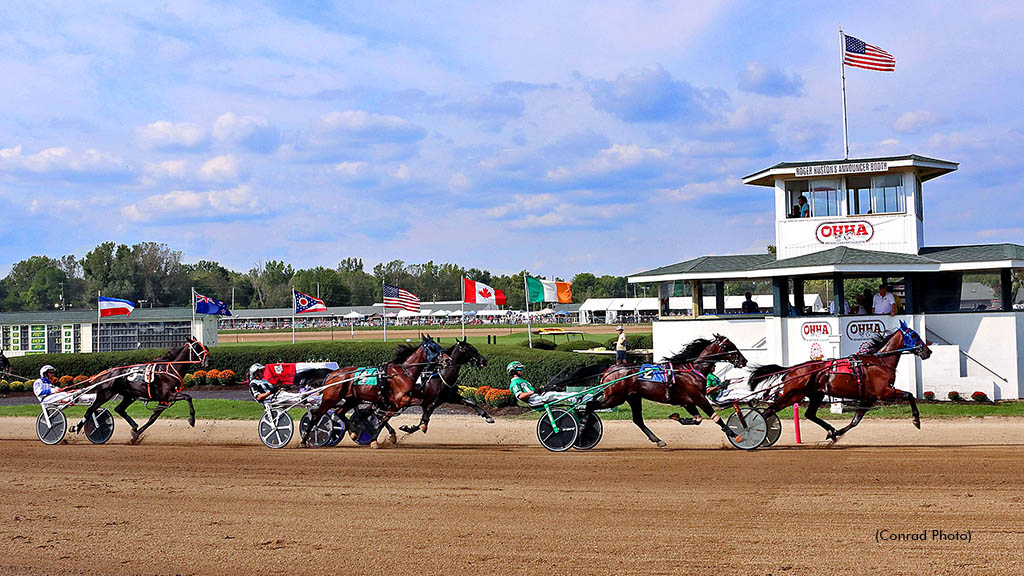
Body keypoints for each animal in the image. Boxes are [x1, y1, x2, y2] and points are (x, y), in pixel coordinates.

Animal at [76, 334, 209, 440]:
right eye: (197, 348)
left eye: (205, 347)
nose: (208, 360)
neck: (169, 370)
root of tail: (108, 372)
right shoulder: (169, 395)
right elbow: (188, 397)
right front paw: (192, 420)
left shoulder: (163, 400)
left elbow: (152, 419)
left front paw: (136, 434)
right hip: (105, 394)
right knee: (90, 410)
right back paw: (77, 427)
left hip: (130, 396)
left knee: (119, 409)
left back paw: (134, 426)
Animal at [303, 334, 448, 446]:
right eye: (432, 347)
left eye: (439, 346)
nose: (447, 360)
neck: (401, 373)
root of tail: (331, 374)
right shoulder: (401, 399)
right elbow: (423, 403)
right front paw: (421, 424)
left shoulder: (394, 403)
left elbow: (384, 419)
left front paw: (377, 439)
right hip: (330, 399)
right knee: (316, 416)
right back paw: (305, 440)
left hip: (352, 399)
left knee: (339, 412)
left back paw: (353, 432)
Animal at [557, 332, 749, 448]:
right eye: (730, 346)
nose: (744, 360)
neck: (692, 368)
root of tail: (609, 369)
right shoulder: (699, 397)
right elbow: (715, 418)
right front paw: (734, 433)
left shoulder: (688, 401)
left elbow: (698, 419)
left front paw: (677, 417)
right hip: (615, 397)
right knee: (590, 405)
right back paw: (581, 431)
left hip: (633, 397)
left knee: (637, 420)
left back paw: (658, 440)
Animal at [749, 319, 933, 440]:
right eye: (914, 335)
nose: (927, 351)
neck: (879, 362)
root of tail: (792, 370)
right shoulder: (884, 392)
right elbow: (909, 395)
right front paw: (916, 420)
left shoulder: (868, 398)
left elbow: (855, 421)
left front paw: (836, 433)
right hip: (793, 395)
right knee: (768, 411)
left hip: (816, 394)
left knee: (809, 414)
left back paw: (830, 430)